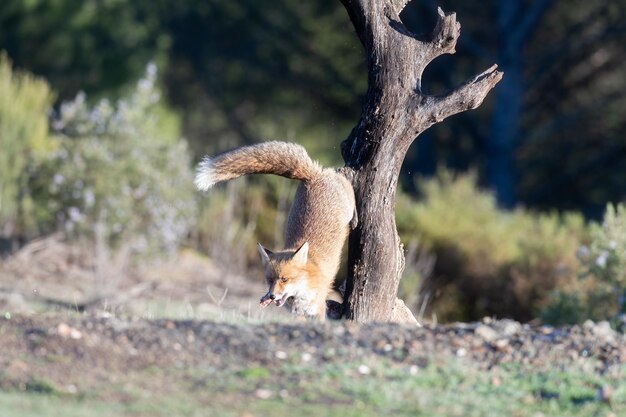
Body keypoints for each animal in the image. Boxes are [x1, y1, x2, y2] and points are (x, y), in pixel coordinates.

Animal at [197, 141, 356, 320]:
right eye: (269, 279)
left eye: (284, 279)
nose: (271, 296)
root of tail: (313, 176)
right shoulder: (298, 315)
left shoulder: (318, 310)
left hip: (347, 205)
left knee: (348, 187)